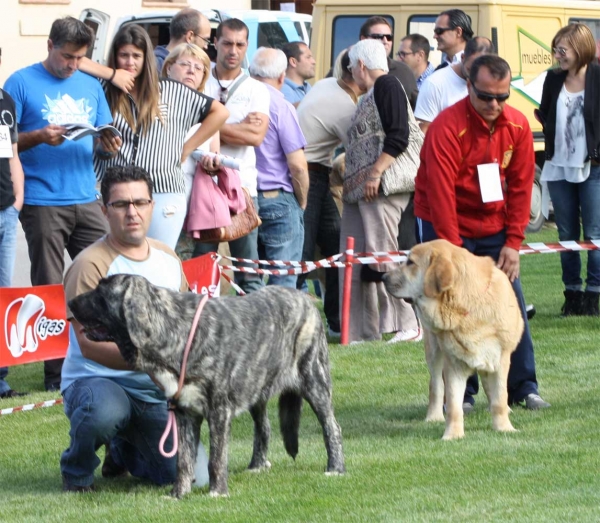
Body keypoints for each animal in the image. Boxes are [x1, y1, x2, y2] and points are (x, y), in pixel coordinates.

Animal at [68, 274, 344, 500]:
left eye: (101, 292)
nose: (69, 302)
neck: (173, 329)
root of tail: (306, 299)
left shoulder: (219, 412)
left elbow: (216, 458)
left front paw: (217, 492)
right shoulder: (184, 413)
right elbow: (183, 461)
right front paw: (178, 494)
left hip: (314, 382)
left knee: (332, 427)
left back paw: (336, 468)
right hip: (257, 389)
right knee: (263, 427)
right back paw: (257, 465)